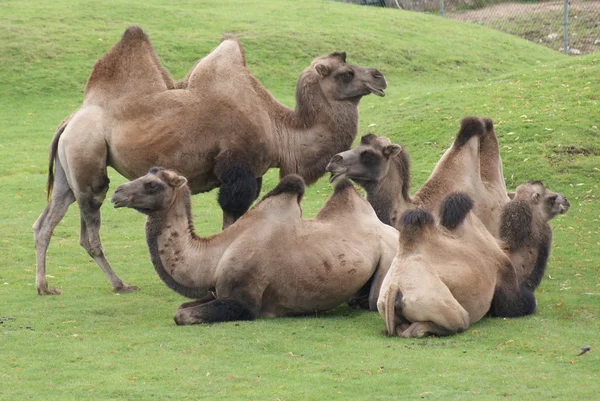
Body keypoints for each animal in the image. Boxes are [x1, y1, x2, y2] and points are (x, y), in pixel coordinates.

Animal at [34, 25, 390, 294]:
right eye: (346, 73)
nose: (379, 76)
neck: (279, 129)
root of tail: (70, 119)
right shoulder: (238, 169)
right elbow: (232, 218)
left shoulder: (254, 173)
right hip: (88, 160)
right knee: (89, 228)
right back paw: (119, 284)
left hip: (68, 172)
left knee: (46, 221)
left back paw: (44, 287)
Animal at [109, 167, 398, 324]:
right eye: (147, 172)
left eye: (152, 184)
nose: (116, 193)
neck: (213, 258)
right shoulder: (216, 291)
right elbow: (182, 308)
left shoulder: (244, 301)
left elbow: (181, 315)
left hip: (388, 261)